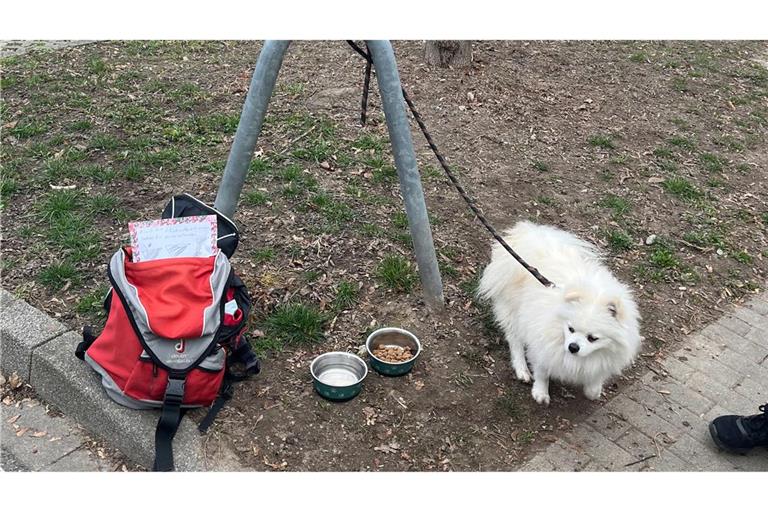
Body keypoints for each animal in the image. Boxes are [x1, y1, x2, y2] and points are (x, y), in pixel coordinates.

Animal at [480, 222, 640, 406]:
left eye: (593, 338)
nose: (573, 347)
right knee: (515, 341)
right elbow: (542, 371)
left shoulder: (606, 358)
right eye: (570, 329)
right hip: (514, 311)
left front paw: (593, 390)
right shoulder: (543, 344)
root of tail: (532, 239)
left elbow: (595, 379)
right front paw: (541, 393)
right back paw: (522, 370)